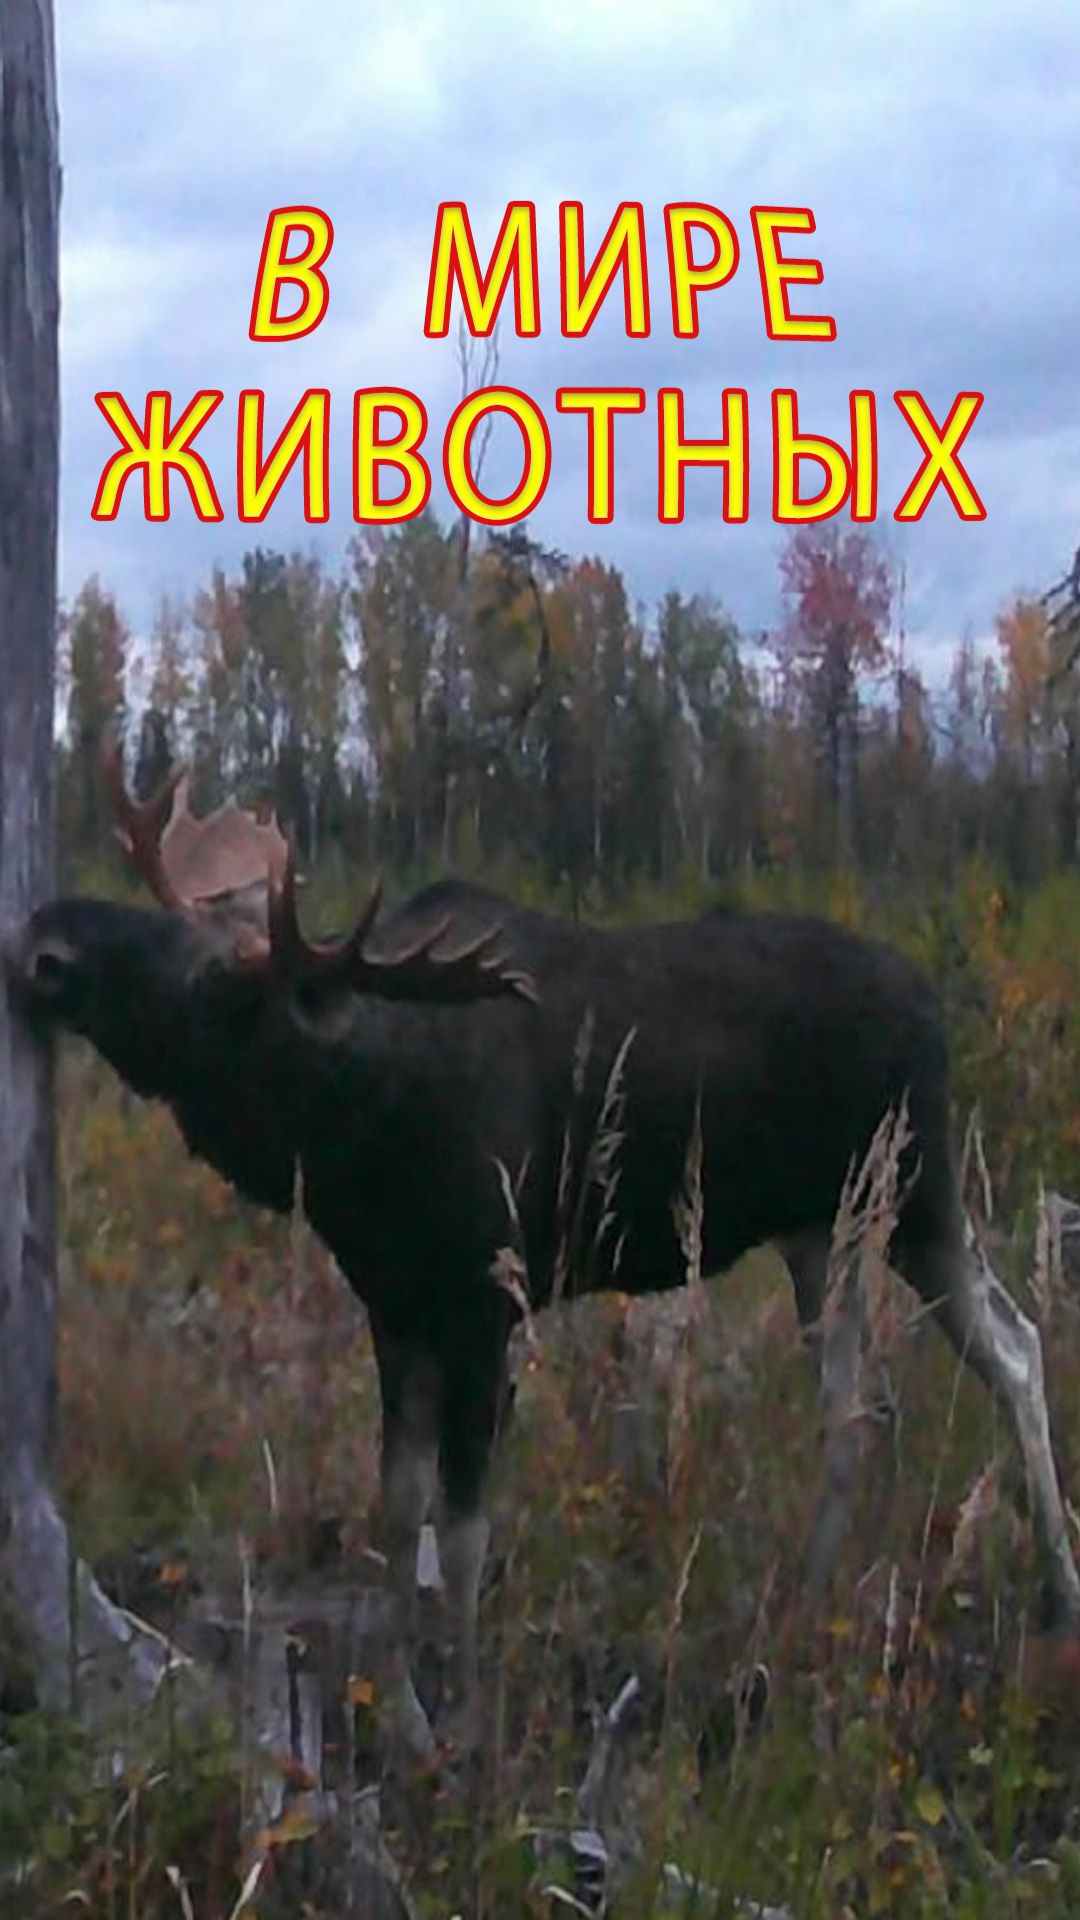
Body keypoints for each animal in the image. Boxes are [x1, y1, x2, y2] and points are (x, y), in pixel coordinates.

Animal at [9, 747, 1080, 1759]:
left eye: (216, 981)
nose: (47, 940)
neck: (360, 1131)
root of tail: (935, 1010)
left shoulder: (487, 1302)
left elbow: (463, 1528)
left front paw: (464, 1721)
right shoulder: (395, 1307)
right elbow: (397, 1508)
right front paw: (406, 1715)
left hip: (912, 1195)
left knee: (995, 1358)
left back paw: (1050, 1587)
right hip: (824, 1232)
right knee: (888, 1396)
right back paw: (811, 1614)